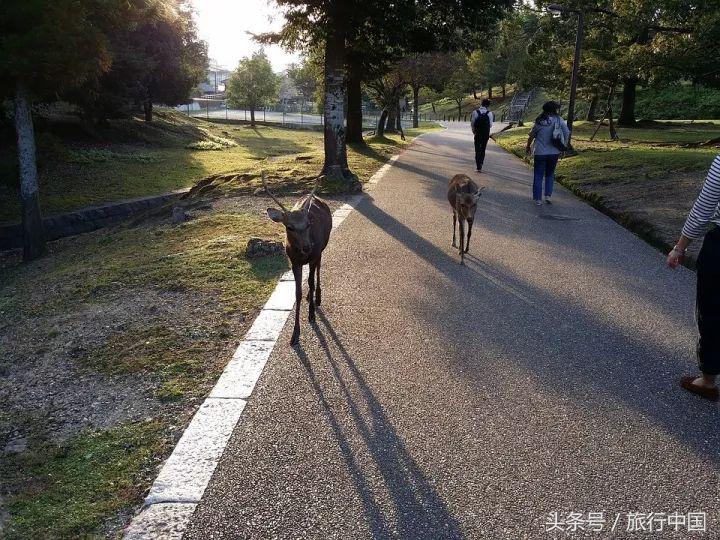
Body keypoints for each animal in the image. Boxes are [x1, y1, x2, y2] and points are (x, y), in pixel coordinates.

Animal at [263, 172, 332, 345]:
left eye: (308, 224)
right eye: (290, 227)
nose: (307, 247)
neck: (302, 254)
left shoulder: (314, 255)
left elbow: (311, 281)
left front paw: (312, 315)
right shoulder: (294, 262)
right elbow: (297, 293)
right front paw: (295, 334)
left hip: (322, 248)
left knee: (318, 268)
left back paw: (317, 297)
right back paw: (310, 296)